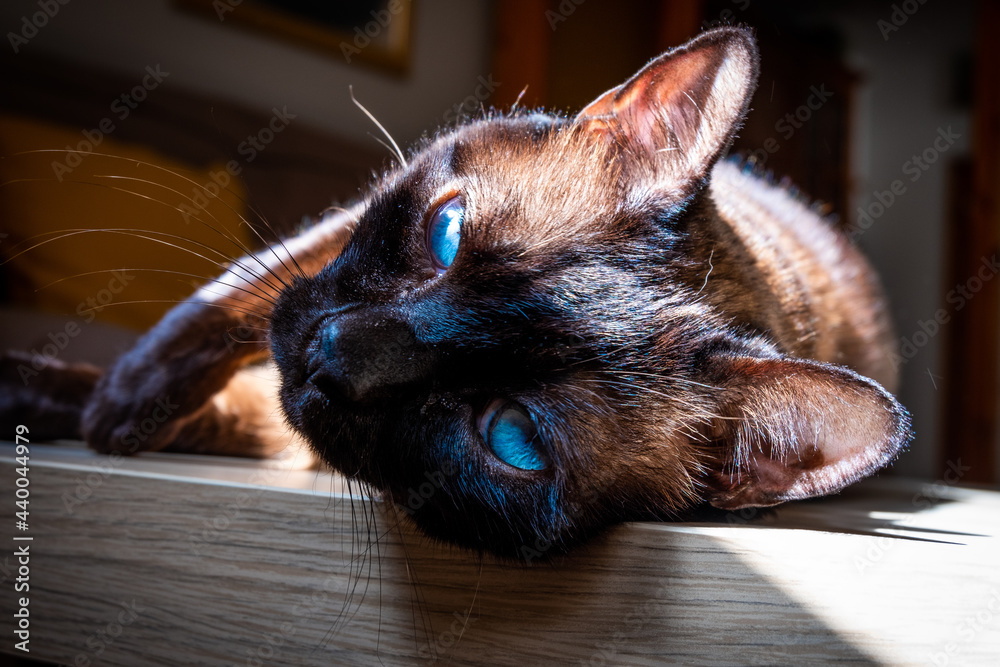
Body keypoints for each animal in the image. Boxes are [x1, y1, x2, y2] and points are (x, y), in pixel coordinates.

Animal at [0, 26, 912, 560]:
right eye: (446, 234)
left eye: (510, 435)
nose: (333, 358)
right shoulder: (327, 248)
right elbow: (233, 302)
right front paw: (115, 401)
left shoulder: (280, 425)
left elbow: (215, 407)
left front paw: (97, 420)